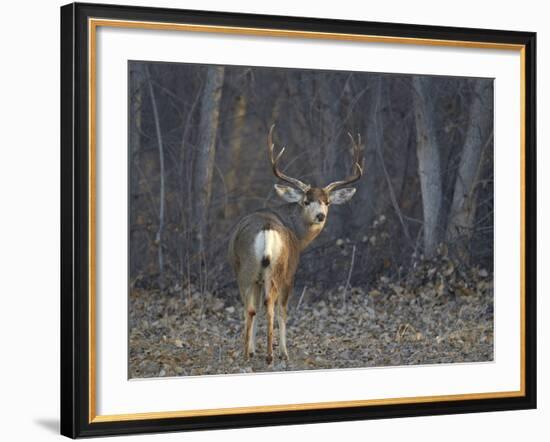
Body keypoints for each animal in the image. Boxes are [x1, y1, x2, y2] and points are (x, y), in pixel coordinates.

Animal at [227, 123, 362, 362]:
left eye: (327, 202)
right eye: (306, 201)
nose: (320, 216)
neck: (298, 235)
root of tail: (266, 230)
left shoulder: (256, 277)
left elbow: (255, 309)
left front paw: (253, 349)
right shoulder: (291, 270)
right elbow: (283, 310)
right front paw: (283, 351)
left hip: (249, 269)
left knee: (251, 307)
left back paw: (248, 352)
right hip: (276, 269)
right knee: (273, 305)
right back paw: (272, 354)